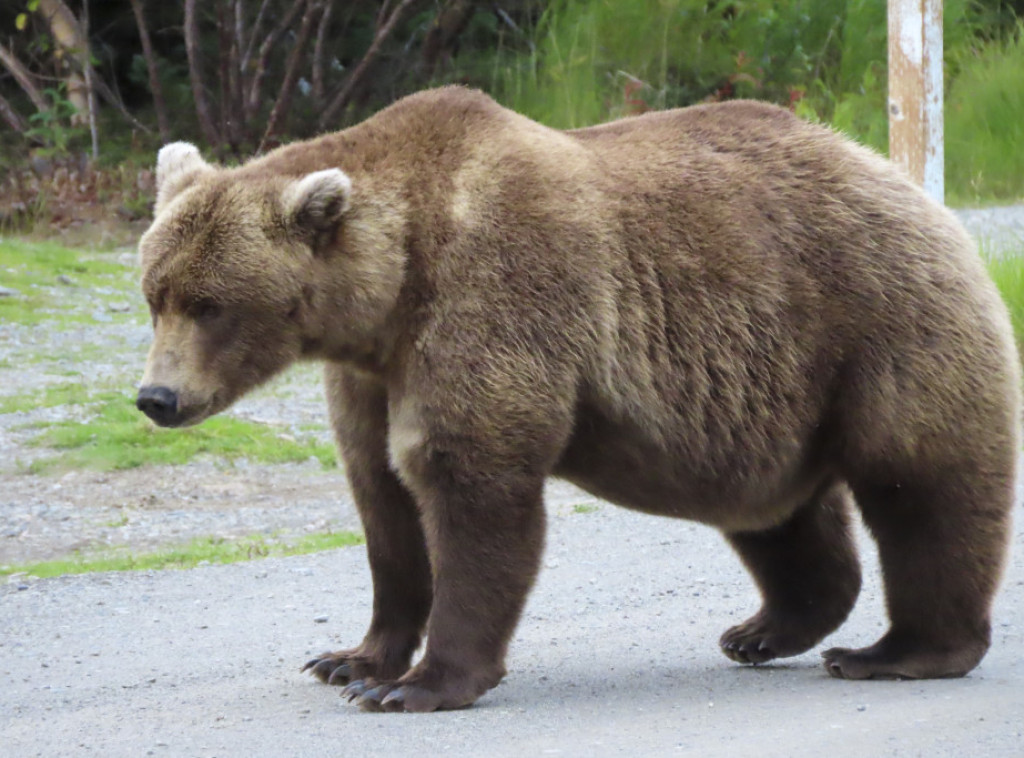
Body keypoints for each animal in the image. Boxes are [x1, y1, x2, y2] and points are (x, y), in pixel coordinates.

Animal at [134, 86, 1015, 712]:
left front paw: (415, 684)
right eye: (155, 295)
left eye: (211, 304)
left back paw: (896, 652)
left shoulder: (493, 296)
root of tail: (896, 175)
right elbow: (383, 499)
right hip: (766, 393)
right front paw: (349, 657)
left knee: (922, 483)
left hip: (876, 319)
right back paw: (763, 630)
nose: (156, 396)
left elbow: (469, 485)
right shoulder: (369, 374)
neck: (388, 292)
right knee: (776, 511)